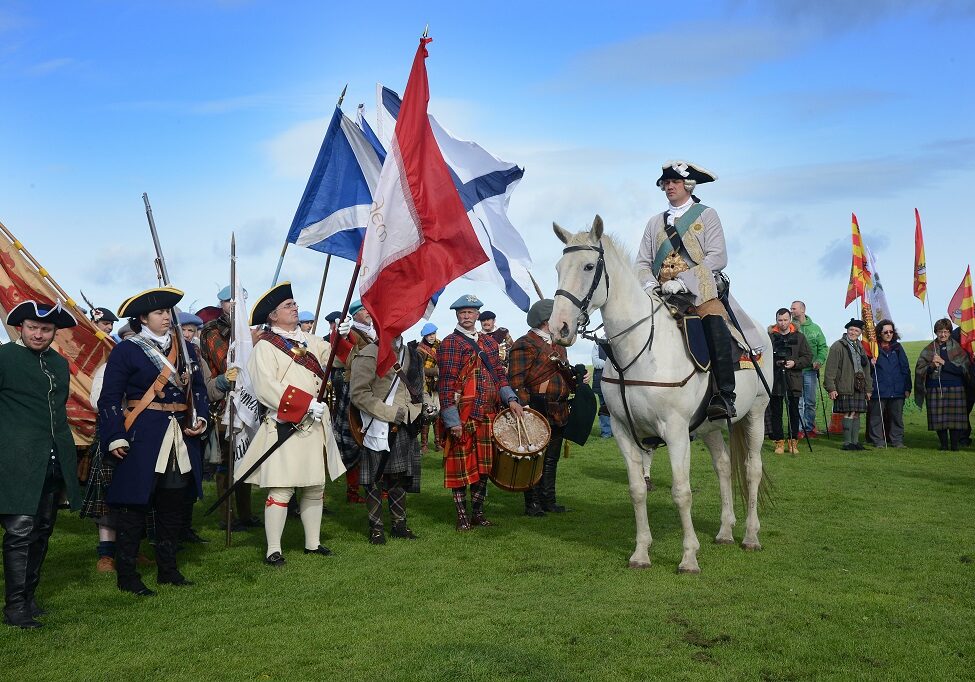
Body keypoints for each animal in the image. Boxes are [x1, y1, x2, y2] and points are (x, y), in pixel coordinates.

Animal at [548, 215, 772, 572]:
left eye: (588, 266)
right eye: (558, 267)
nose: (559, 328)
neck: (638, 349)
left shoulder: (677, 430)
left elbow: (682, 492)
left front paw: (689, 557)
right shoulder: (624, 431)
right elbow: (637, 489)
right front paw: (641, 552)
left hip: (755, 414)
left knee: (752, 469)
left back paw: (750, 536)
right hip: (709, 426)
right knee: (723, 465)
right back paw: (725, 531)